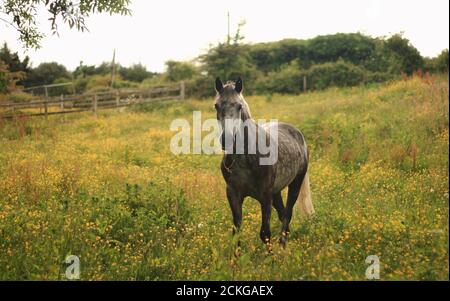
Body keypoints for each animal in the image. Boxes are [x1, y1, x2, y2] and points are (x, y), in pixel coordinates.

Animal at [214, 77, 312, 248]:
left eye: (239, 106)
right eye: (216, 105)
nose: (227, 139)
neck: (245, 159)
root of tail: (297, 133)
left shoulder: (265, 196)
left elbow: (265, 233)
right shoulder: (233, 194)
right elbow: (236, 233)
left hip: (295, 183)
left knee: (288, 214)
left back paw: (282, 247)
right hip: (276, 192)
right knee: (283, 215)